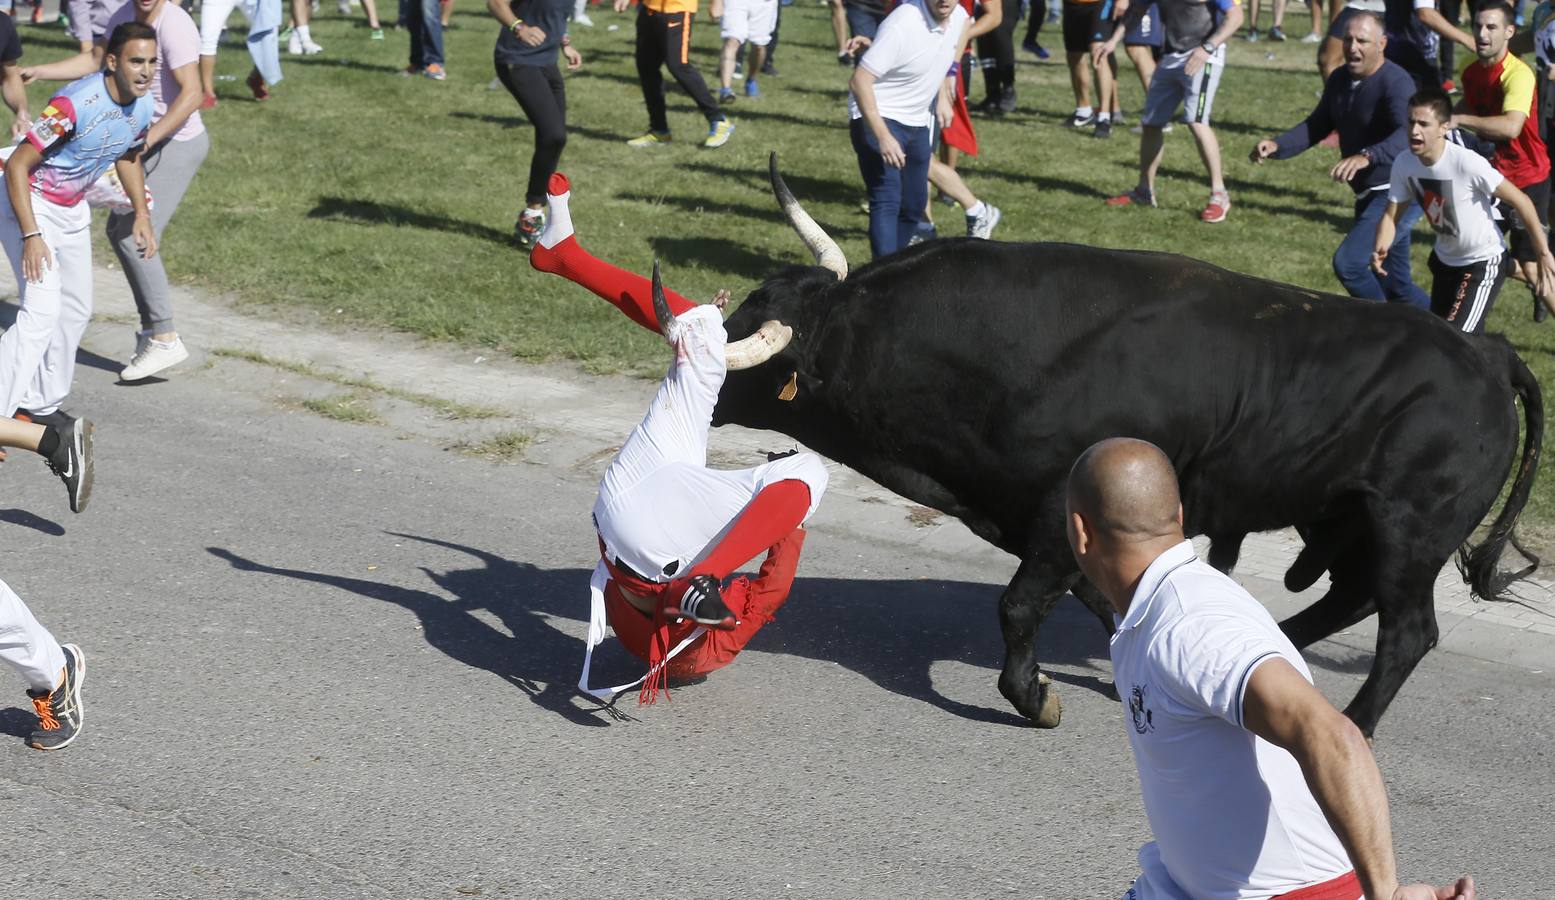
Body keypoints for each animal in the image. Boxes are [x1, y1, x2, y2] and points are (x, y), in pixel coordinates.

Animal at [709, 233, 1542, 739]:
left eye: (746, 337)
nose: (692, 361)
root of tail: (1484, 349)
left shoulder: (1056, 511)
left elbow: (1018, 605)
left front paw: (1033, 696)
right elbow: (1103, 597)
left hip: (1410, 526)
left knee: (1406, 632)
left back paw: (1355, 723)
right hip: (1344, 521)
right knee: (1351, 598)